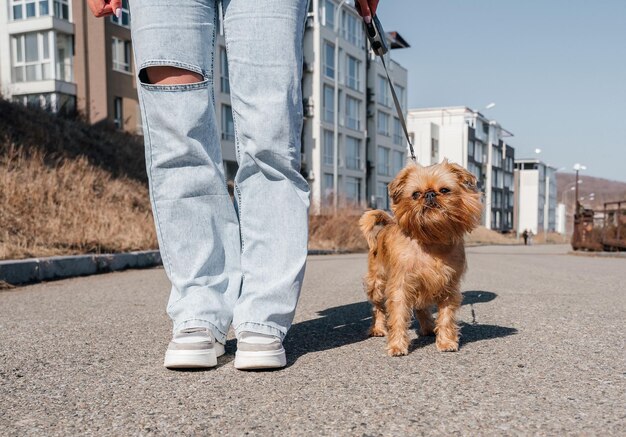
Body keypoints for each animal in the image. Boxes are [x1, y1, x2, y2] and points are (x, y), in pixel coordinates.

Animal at [358, 158, 480, 356]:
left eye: (444, 190)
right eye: (415, 194)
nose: (429, 194)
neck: (431, 240)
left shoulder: (448, 286)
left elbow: (446, 317)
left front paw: (446, 341)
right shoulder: (400, 286)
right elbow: (398, 316)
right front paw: (397, 345)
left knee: (421, 307)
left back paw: (429, 328)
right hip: (377, 283)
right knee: (378, 308)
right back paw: (378, 328)